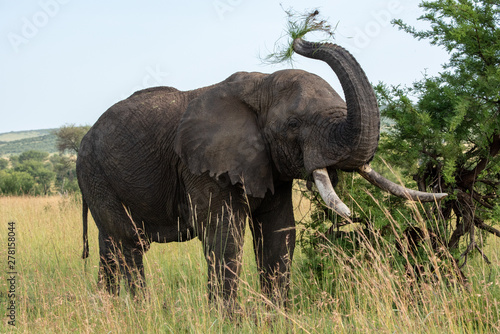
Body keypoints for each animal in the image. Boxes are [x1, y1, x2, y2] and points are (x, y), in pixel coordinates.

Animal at [76, 38, 448, 308]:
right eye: (294, 124)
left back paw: (107, 308)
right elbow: (224, 236)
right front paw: (227, 321)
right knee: (129, 244)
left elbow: (279, 233)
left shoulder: (269, 165)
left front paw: (279, 317)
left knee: (110, 246)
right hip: (94, 173)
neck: (258, 87)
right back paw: (139, 311)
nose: (301, 40)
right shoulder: (202, 166)